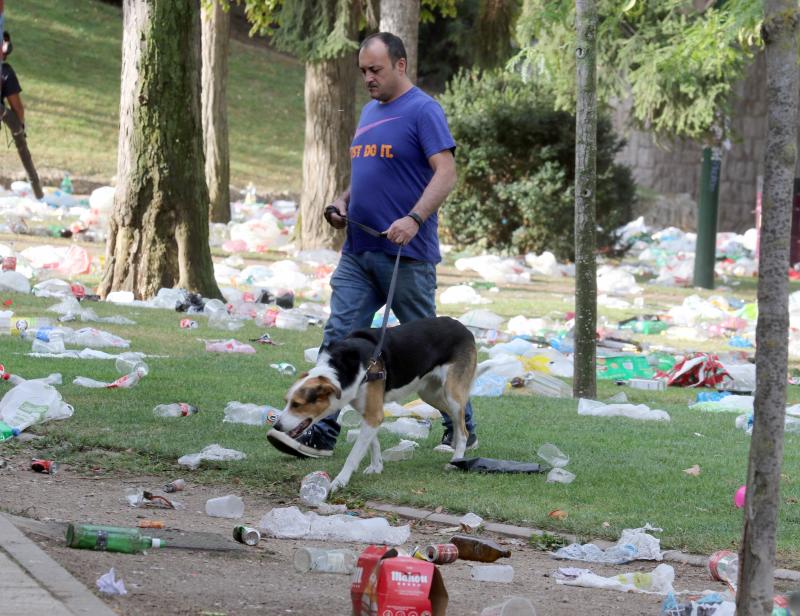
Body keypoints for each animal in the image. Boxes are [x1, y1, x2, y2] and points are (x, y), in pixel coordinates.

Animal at [266, 318, 478, 490]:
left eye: (297, 404)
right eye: (286, 401)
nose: (277, 426)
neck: (343, 371)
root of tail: (463, 327)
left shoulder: (373, 414)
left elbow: (353, 455)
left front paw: (339, 482)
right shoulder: (369, 413)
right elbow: (373, 443)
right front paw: (377, 467)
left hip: (452, 393)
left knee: (463, 430)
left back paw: (456, 459)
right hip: (429, 394)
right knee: (456, 421)